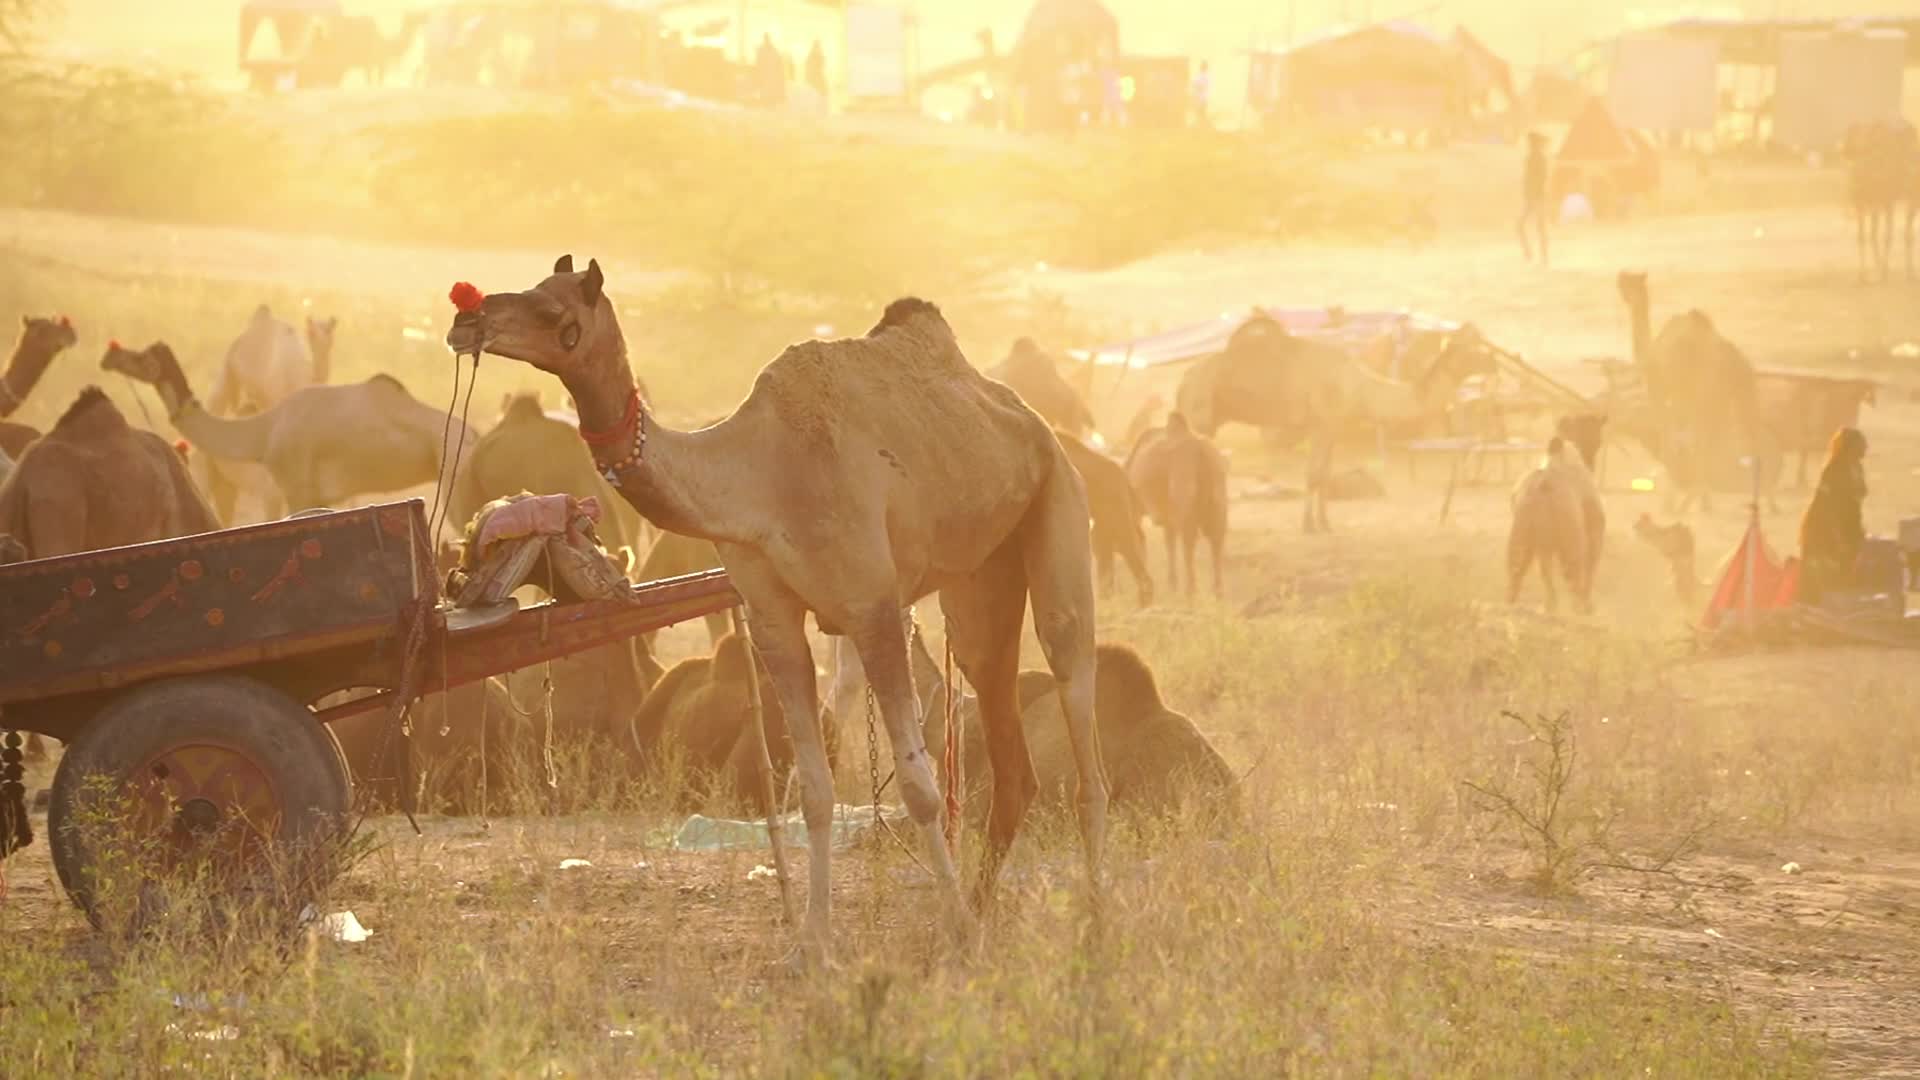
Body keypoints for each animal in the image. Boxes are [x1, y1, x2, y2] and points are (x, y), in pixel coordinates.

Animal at [102, 342, 476, 518]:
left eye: (143, 359)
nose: (109, 357)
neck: (263, 432)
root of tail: (474, 436)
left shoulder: (297, 488)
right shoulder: (314, 495)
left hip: (453, 476)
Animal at [445, 257, 1106, 963]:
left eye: (557, 314)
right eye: (531, 285)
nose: (467, 317)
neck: (761, 476)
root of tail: (1025, 416)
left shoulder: (873, 607)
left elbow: (920, 789)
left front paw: (954, 930)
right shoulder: (772, 618)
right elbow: (814, 792)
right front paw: (812, 944)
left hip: (1060, 504)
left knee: (1073, 691)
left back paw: (1094, 913)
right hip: (981, 577)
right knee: (1006, 732)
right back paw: (986, 908)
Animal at [1126, 413, 1227, 598]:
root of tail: (1201, 452)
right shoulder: (1168, 514)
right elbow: (1169, 542)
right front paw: (1172, 584)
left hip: (1185, 502)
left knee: (1189, 543)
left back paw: (1191, 590)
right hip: (1217, 503)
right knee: (1216, 540)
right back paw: (1217, 592)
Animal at [1176, 314, 1493, 532]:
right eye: (1472, 352)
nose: (1494, 361)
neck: (1360, 387)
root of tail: (1184, 381)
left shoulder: (1333, 427)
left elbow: (1324, 474)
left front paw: (1325, 525)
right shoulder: (1320, 423)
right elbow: (1313, 474)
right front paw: (1308, 527)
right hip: (1199, 418)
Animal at [1507, 436, 1603, 614]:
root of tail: (1543, 486)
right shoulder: (1594, 527)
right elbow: (1591, 562)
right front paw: (1588, 606)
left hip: (1522, 526)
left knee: (1517, 563)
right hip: (1570, 533)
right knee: (1572, 570)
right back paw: (1576, 607)